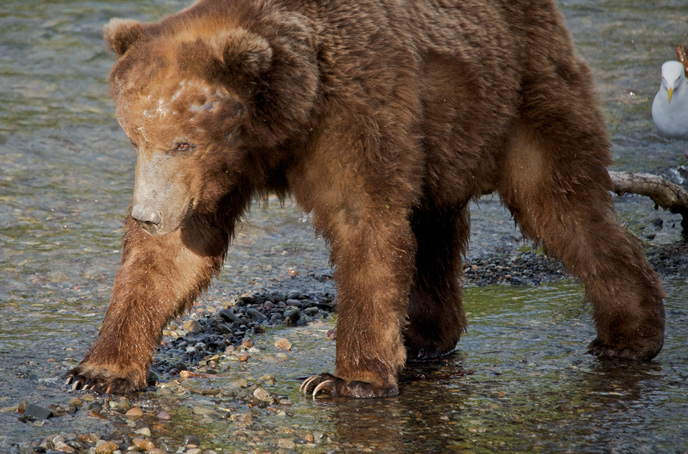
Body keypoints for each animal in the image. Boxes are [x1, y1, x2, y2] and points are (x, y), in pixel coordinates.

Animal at [67, 0, 664, 398]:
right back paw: (427, 336)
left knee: (563, 205)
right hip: (439, 134)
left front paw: (342, 379)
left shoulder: (352, 112)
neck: (285, 120)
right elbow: (172, 257)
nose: (147, 214)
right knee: (436, 228)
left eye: (182, 141)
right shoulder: (216, 176)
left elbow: (366, 226)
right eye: (136, 136)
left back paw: (630, 335)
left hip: (520, 95)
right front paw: (99, 370)